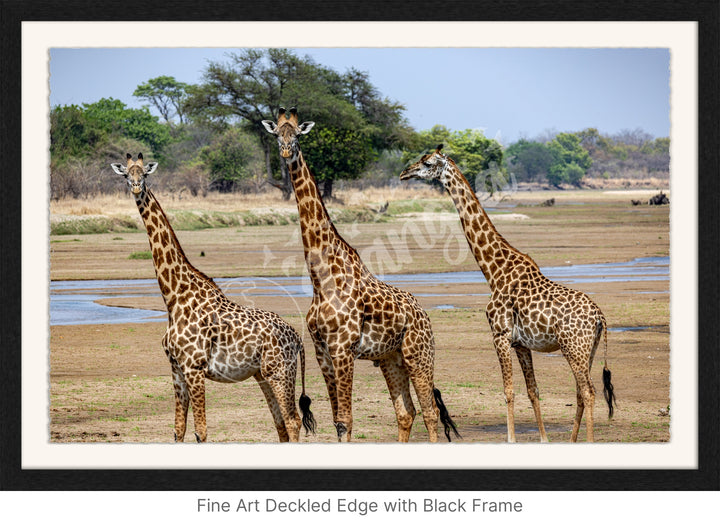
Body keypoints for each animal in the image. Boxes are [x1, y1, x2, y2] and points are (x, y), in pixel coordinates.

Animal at [110, 155, 316, 444]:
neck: (173, 297)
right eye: (126, 175)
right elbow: (179, 430)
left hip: (280, 371)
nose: (137, 187)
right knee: (281, 426)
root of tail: (297, 338)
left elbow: (201, 432)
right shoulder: (176, 369)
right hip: (262, 374)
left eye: (145, 174)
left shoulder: (194, 368)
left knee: (293, 421)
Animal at [262, 106, 458, 442]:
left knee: (431, 412)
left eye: (297, 135)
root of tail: (424, 315)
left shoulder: (344, 350)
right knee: (406, 412)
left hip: (419, 354)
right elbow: (338, 420)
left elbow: (347, 420)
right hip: (392, 359)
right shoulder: (322, 352)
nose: (287, 152)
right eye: (277, 134)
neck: (321, 279)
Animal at [396, 145, 616, 442]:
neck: (494, 271)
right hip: (587, 350)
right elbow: (533, 391)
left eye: (427, 163)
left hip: (574, 347)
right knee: (581, 393)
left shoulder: (499, 335)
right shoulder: (521, 344)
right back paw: (571, 440)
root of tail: (600, 317)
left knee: (589, 392)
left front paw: (511, 438)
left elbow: (508, 391)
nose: (404, 173)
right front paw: (544, 438)